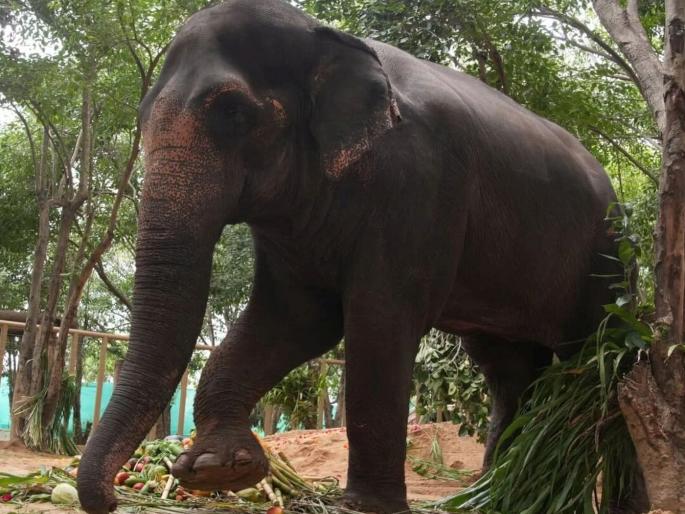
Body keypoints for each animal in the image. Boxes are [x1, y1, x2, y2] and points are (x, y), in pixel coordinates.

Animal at [77, 0, 633, 512]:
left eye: (233, 112)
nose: (110, 499)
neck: (329, 39)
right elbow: (296, 318)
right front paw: (220, 468)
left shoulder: (421, 182)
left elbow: (378, 322)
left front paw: (364, 506)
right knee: (510, 371)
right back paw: (496, 497)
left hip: (608, 257)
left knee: (599, 360)